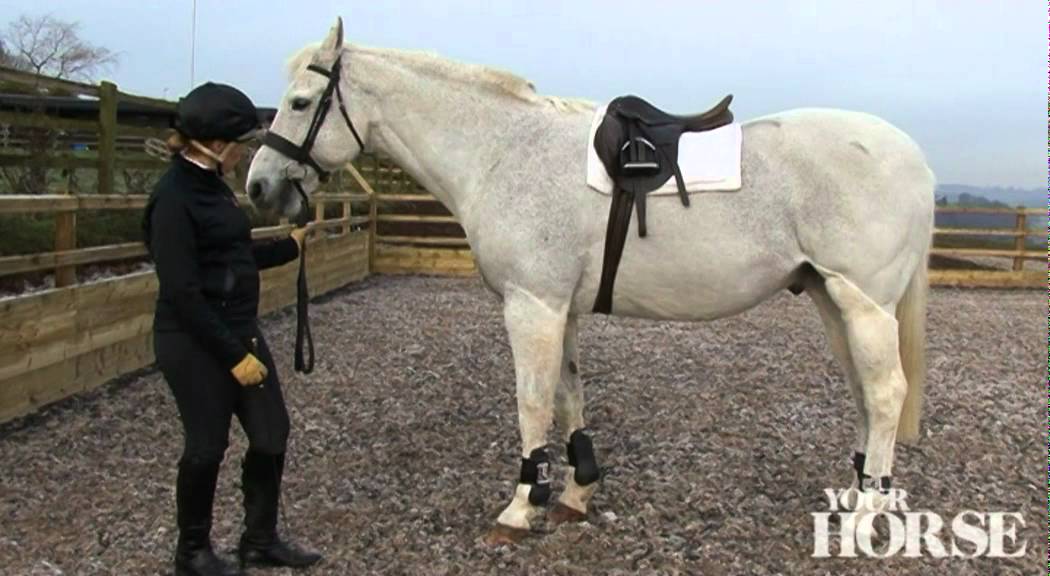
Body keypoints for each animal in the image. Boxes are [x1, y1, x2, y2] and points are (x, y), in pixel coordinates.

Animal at [246, 18, 934, 544]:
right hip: (832, 300)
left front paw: (522, 505)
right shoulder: (560, 307)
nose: (259, 186)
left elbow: (530, 402)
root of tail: (914, 157)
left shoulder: (531, 306)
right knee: (864, 394)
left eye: (301, 103)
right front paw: (577, 491)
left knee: (884, 394)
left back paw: (869, 509)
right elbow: (566, 395)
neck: (503, 152)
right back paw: (856, 491)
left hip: (863, 305)